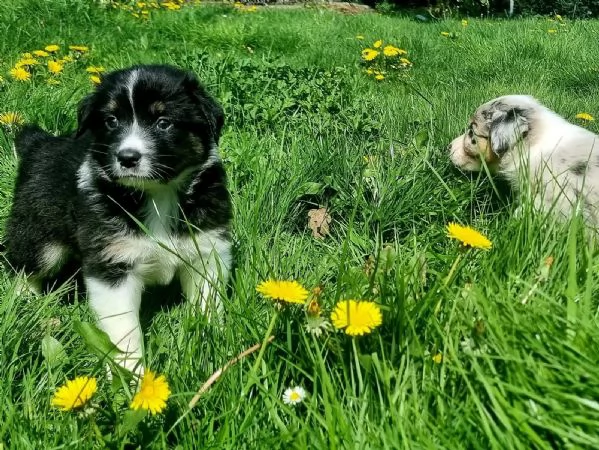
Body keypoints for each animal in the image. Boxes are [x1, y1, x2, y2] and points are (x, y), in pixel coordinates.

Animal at [5, 63, 233, 372]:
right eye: (111, 121)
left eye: (163, 122)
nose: (127, 158)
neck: (157, 194)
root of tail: (40, 142)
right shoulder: (112, 265)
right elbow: (124, 331)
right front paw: (132, 375)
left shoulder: (207, 251)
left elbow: (208, 304)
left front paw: (213, 350)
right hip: (39, 232)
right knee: (24, 265)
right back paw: (23, 303)